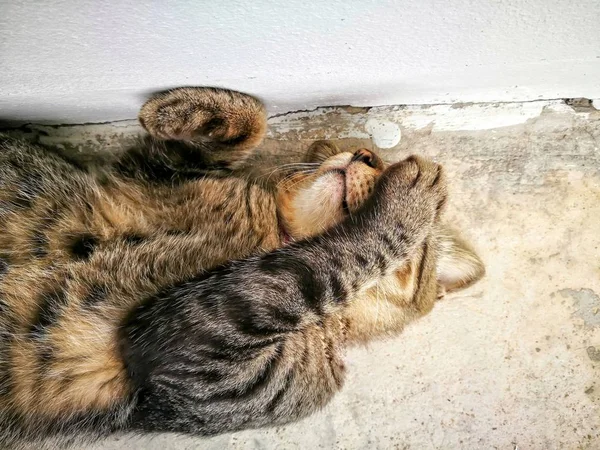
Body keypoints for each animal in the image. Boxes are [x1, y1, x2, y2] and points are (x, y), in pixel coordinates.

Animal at [0, 87, 482, 446]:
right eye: (348, 149)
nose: (365, 155)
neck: (270, 237)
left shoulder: (203, 376)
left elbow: (322, 264)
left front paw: (409, 206)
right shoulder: (143, 173)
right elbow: (253, 119)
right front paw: (188, 111)